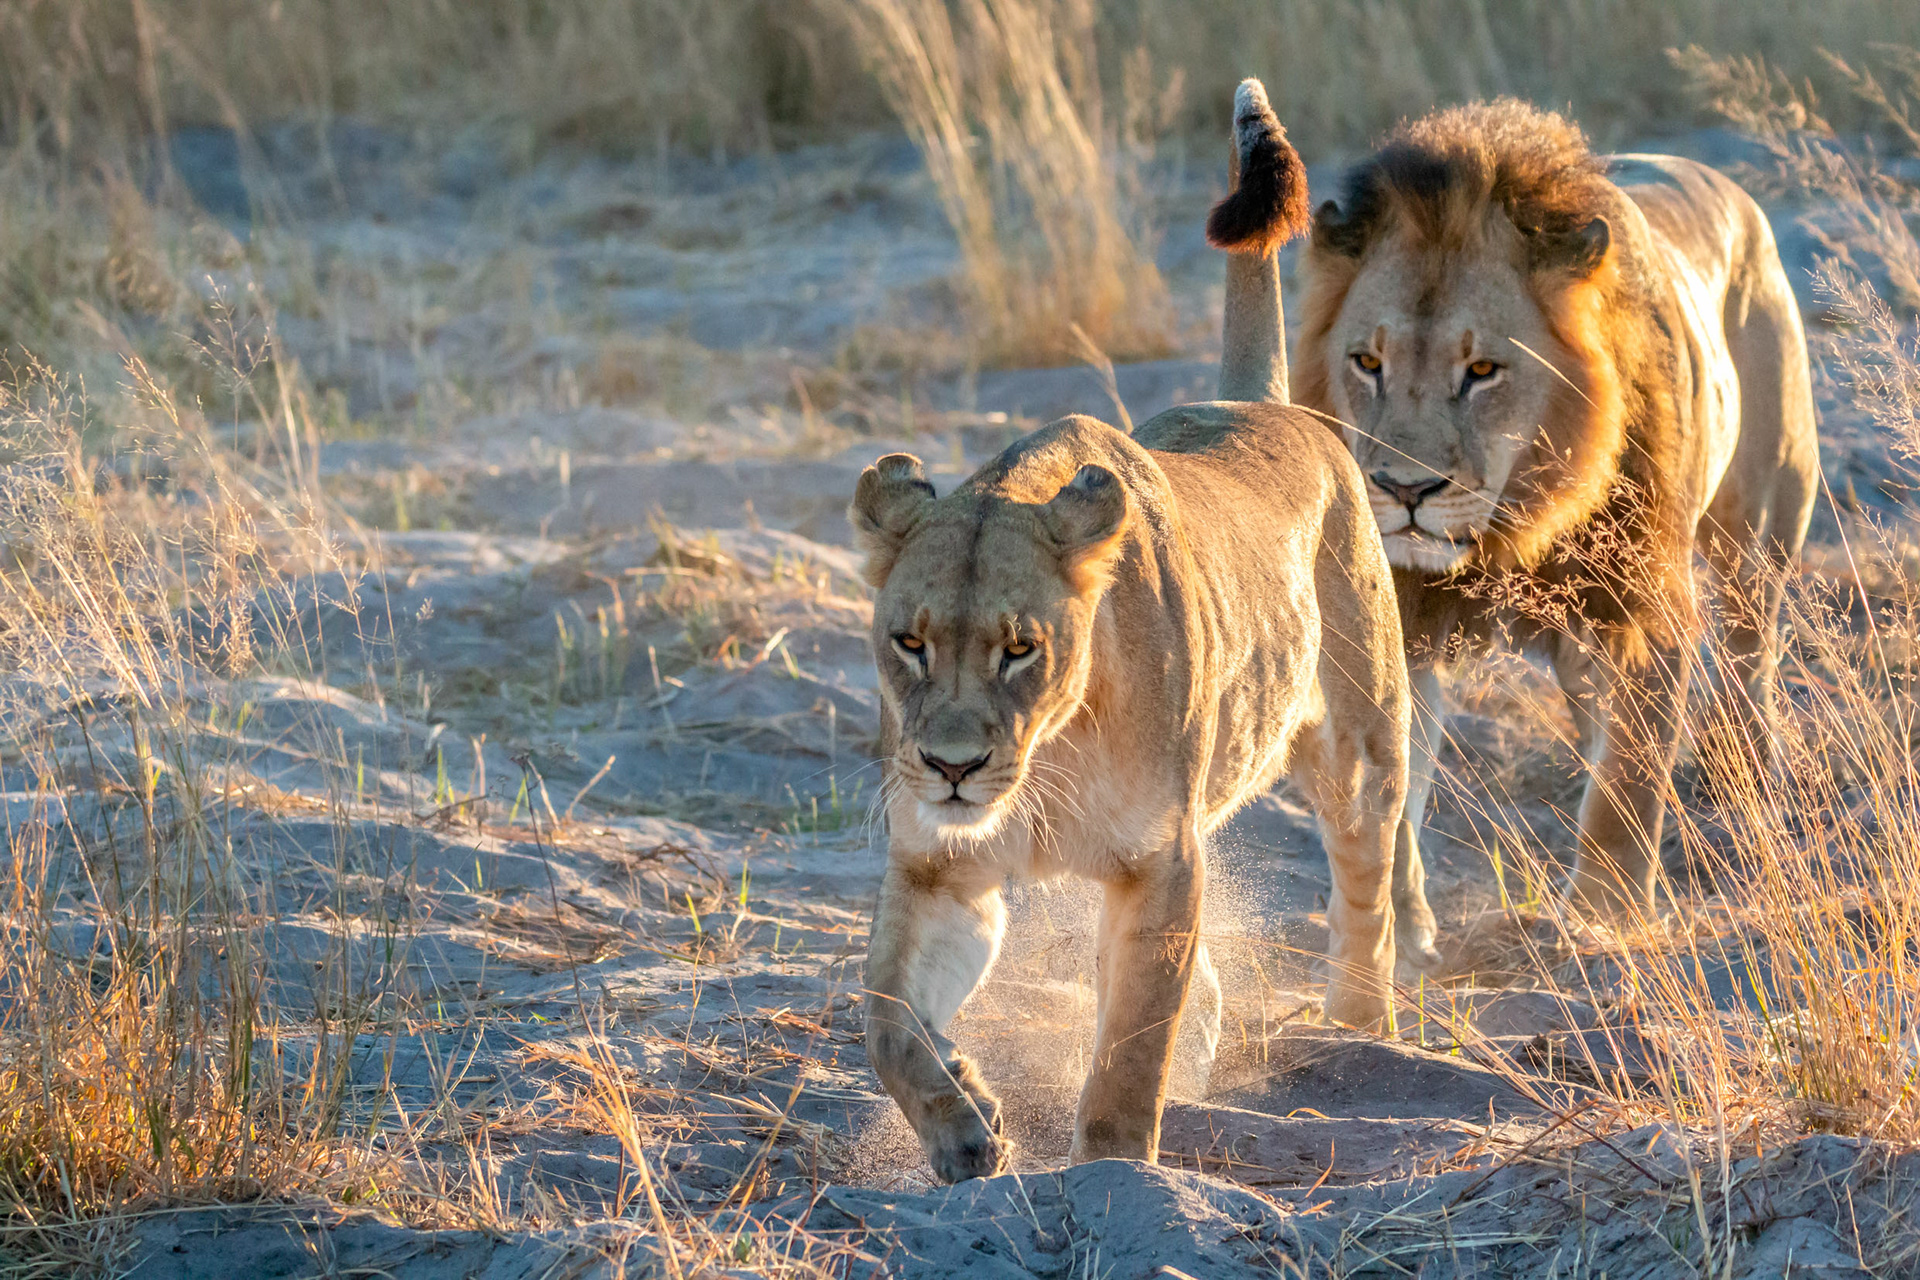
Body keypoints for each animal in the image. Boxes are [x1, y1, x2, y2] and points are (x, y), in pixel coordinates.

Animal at [852, 82, 1433, 1183]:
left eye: (1020, 648)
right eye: (910, 643)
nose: (950, 766)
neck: (1047, 755)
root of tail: (1258, 400)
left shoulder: (1160, 863)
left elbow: (1129, 1047)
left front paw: (1113, 1173)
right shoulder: (942, 866)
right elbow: (887, 1019)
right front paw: (965, 1126)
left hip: (1355, 741)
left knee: (1367, 882)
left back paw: (1364, 1025)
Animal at [1210, 94, 1818, 917]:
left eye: (1483, 371)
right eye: (1367, 363)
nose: (1405, 490)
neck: (1520, 519)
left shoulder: (1648, 603)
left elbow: (1630, 780)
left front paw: (1605, 918)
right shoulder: (1401, 614)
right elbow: (1395, 780)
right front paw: (1398, 919)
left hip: (1763, 528)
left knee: (1753, 654)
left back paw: (1752, 791)